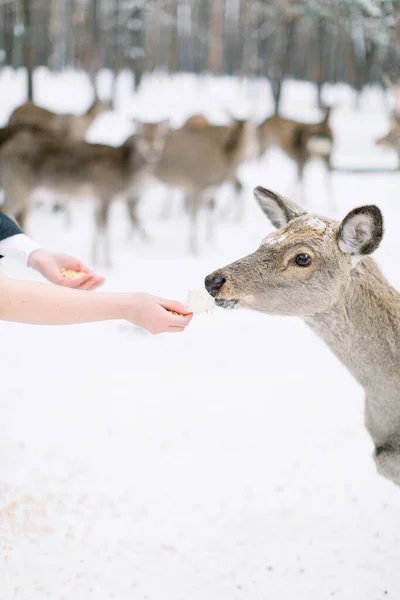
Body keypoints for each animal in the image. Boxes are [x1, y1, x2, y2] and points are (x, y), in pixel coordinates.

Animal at [0, 120, 169, 266]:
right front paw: (108, 263)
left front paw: (94, 259)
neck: (125, 173)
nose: (153, 151)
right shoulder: (105, 192)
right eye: (142, 136)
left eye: (160, 136)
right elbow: (104, 228)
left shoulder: (97, 199)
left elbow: (96, 226)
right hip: (19, 187)